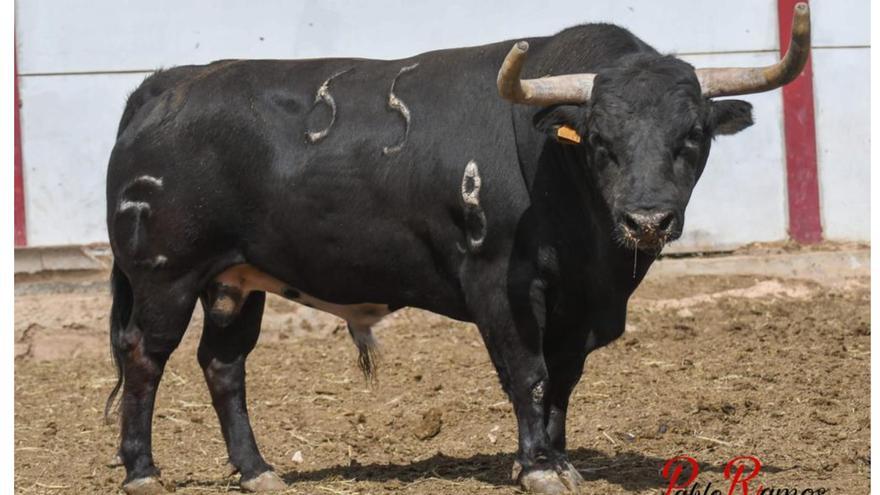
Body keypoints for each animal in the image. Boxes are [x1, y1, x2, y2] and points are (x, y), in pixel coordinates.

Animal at [103, 9, 812, 494]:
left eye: (692, 137)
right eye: (600, 140)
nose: (647, 219)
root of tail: (165, 86)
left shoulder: (578, 307)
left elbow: (561, 381)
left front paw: (559, 458)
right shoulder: (501, 284)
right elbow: (527, 373)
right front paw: (538, 467)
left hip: (236, 278)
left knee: (223, 365)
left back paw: (257, 470)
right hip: (167, 274)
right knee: (145, 356)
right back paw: (143, 472)